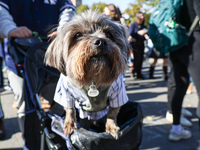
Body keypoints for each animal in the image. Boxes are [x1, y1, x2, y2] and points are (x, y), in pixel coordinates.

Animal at [44, 10, 130, 139]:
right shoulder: (65, 91)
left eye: (108, 34)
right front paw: (70, 124)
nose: (101, 41)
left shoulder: (118, 92)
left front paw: (112, 127)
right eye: (78, 35)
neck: (93, 78)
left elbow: (112, 112)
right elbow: (69, 109)